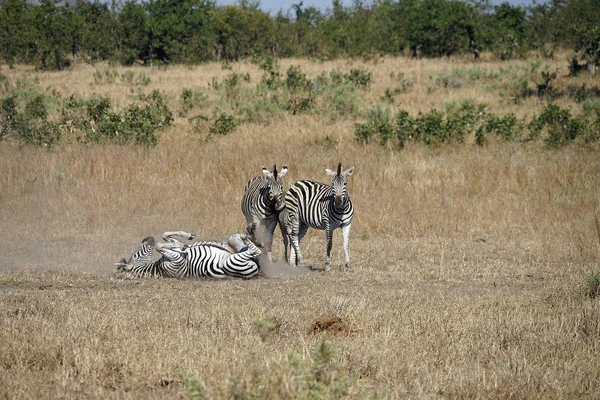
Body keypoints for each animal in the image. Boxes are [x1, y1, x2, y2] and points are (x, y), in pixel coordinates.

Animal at [115, 230, 260, 280]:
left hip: (232, 246)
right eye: (135, 255)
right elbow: (159, 246)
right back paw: (249, 237)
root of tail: (257, 271)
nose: (148, 238)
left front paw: (185, 241)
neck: (157, 269)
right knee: (255, 251)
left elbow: (166, 236)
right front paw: (182, 248)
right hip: (229, 263)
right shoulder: (177, 261)